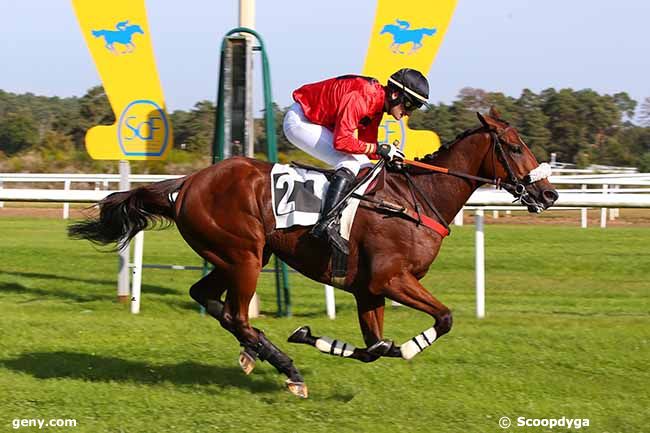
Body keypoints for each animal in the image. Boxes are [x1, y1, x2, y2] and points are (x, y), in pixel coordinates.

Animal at [69, 109, 556, 398]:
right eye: (515, 147)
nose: (549, 194)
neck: (416, 199)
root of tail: (186, 184)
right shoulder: (391, 280)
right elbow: (440, 320)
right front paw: (396, 346)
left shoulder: (368, 290)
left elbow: (375, 346)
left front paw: (317, 338)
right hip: (244, 257)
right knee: (237, 314)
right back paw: (287, 368)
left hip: (235, 257)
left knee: (209, 299)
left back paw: (256, 353)